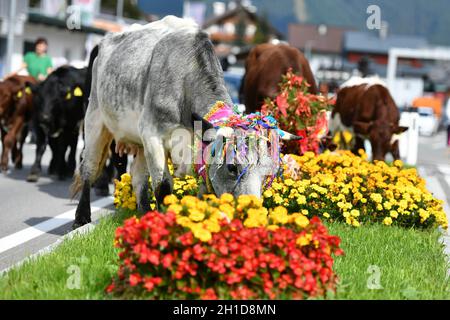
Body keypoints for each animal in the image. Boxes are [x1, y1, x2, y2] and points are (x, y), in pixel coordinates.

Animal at [72, 16, 298, 229]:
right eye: (232, 167)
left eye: (271, 172)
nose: (253, 215)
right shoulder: (153, 135)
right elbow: (163, 187)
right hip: (95, 118)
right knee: (88, 167)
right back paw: (81, 217)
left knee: (137, 176)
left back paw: (144, 212)